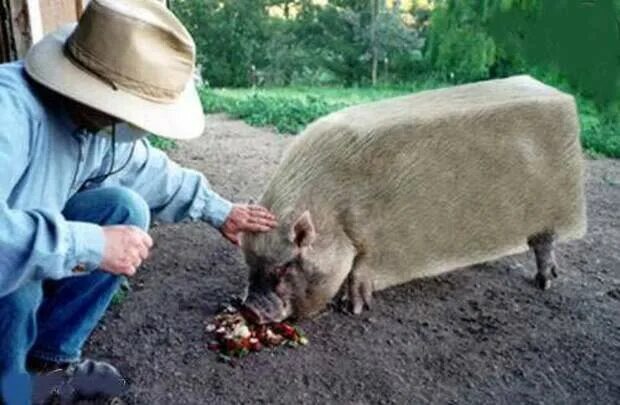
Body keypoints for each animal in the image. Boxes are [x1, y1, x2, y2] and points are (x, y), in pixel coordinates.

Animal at [240, 75, 588, 322]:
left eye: (285, 268)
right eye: (250, 264)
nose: (249, 309)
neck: (336, 218)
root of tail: (557, 94)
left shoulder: (374, 242)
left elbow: (360, 271)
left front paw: (352, 309)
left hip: (552, 205)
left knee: (544, 243)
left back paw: (545, 283)